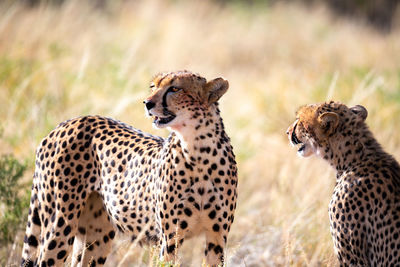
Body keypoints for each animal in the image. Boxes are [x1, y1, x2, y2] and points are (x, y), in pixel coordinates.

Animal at [21, 70, 238, 267]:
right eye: (153, 86)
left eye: (175, 89)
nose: (147, 103)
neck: (198, 149)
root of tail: (66, 123)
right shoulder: (170, 238)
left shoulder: (217, 237)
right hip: (60, 224)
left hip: (97, 234)